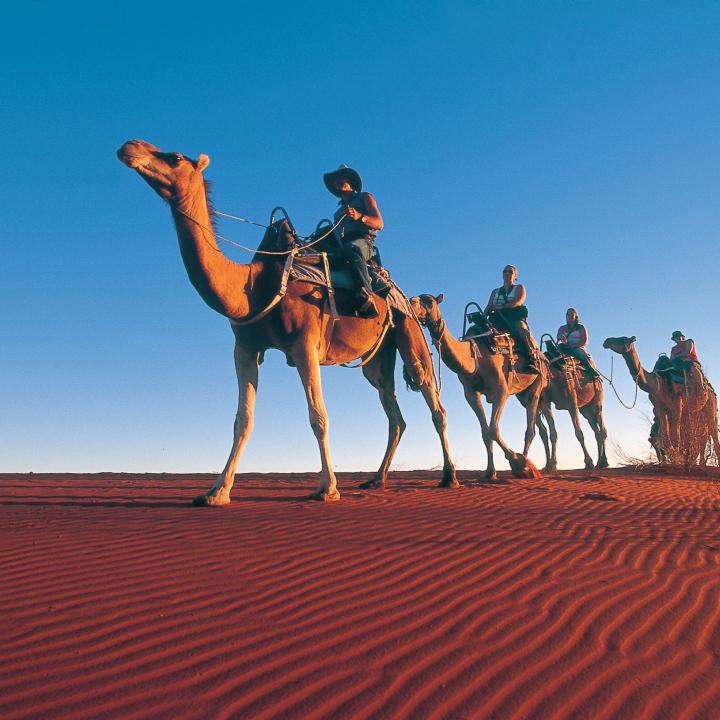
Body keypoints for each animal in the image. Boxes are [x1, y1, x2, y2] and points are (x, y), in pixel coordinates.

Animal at [117, 140, 458, 504]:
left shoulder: (304, 345)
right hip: (377, 357)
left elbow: (318, 416)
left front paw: (328, 488)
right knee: (394, 413)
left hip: (408, 333)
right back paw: (376, 480)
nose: (129, 147)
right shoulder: (245, 348)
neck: (252, 287)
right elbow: (243, 419)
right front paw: (216, 491)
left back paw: (449, 477)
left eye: (175, 157)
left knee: (433, 401)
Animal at [410, 293, 547, 480]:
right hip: (522, 394)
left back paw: (527, 466)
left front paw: (517, 462)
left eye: (430, 302)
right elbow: (485, 433)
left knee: (530, 430)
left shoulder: (501, 390)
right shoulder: (471, 394)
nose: (411, 302)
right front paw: (490, 472)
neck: (474, 357)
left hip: (536, 386)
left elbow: (493, 429)